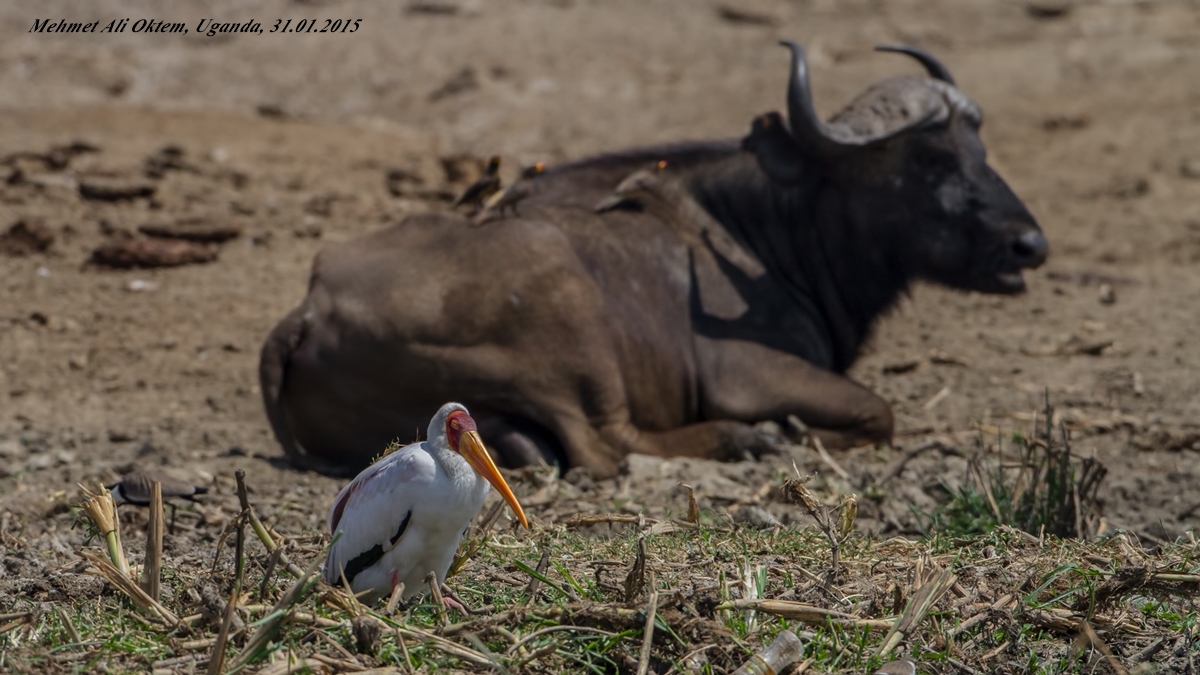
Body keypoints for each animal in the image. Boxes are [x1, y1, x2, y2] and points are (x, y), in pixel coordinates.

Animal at [258, 42, 1046, 475]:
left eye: (980, 148)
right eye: (928, 159)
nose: (1029, 244)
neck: (762, 234)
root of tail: (311, 305)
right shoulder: (743, 372)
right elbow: (879, 411)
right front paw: (789, 431)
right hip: (573, 321)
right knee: (608, 446)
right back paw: (746, 439)